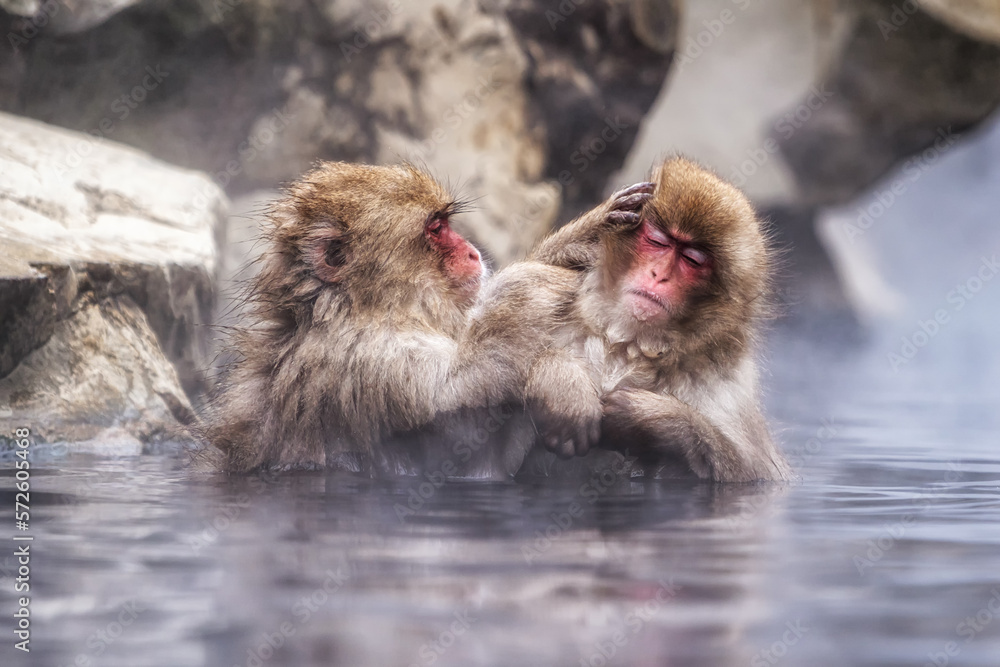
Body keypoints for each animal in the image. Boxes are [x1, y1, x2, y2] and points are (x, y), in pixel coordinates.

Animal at [525, 157, 790, 482]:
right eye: (658, 241)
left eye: (692, 260)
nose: (659, 275)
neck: (629, 340)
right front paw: (563, 385)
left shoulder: (730, 380)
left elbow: (753, 473)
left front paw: (653, 418)